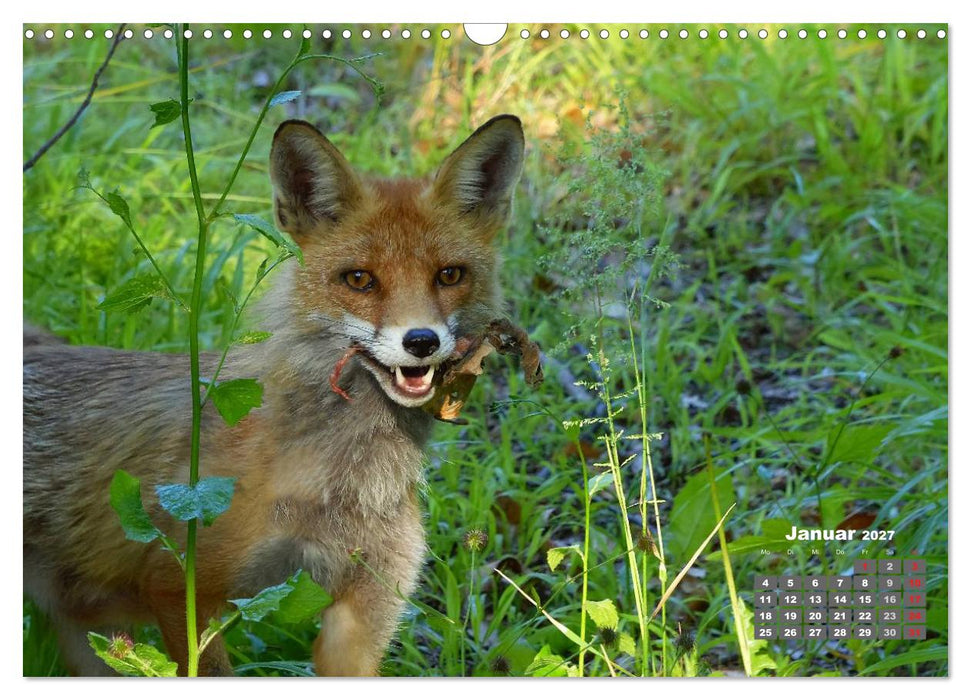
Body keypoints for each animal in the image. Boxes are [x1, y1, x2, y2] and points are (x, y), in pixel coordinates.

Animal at [23, 114, 526, 676]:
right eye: (359, 279)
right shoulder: (179, 588)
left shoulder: (365, 612)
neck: (346, 487)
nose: (421, 341)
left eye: (449, 275)